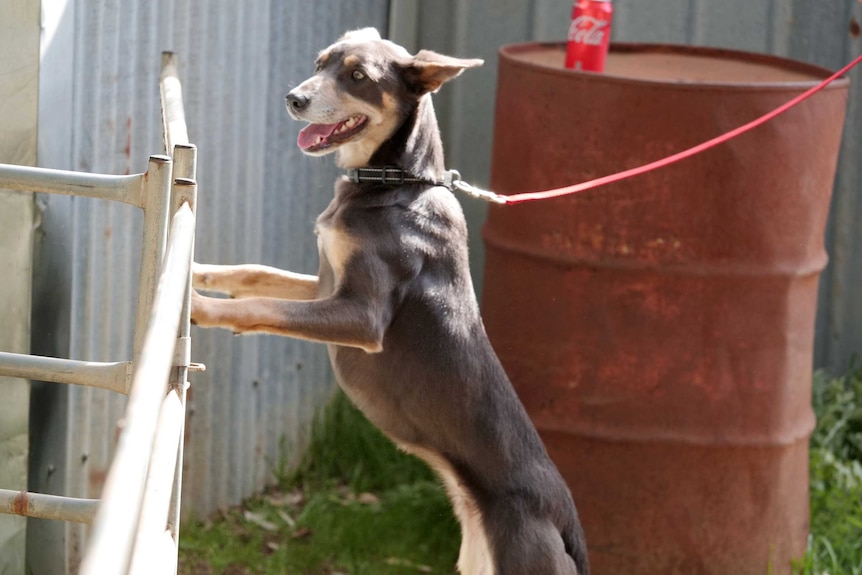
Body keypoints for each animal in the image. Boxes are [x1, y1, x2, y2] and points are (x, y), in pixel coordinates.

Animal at [192, 28, 592, 575]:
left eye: (359, 76)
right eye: (319, 63)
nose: (293, 99)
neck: (395, 182)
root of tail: (564, 520)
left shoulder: (361, 318)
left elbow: (261, 309)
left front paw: (196, 305)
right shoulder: (325, 284)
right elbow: (254, 275)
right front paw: (195, 270)